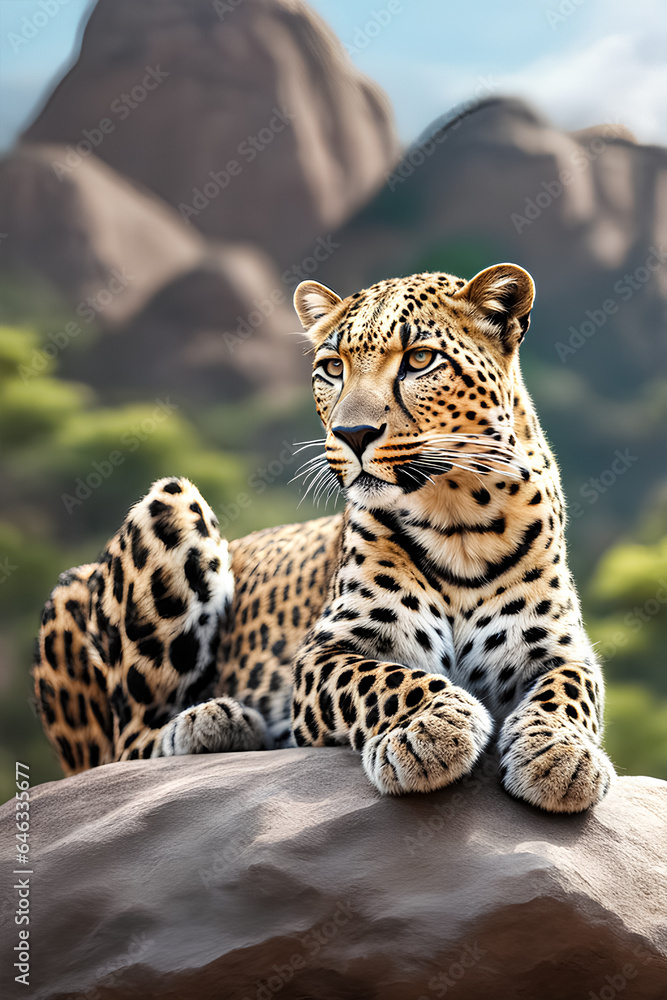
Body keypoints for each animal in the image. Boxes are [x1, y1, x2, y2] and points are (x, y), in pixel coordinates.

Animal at [33, 262, 616, 813]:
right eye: (333, 368)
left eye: (420, 360)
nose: (352, 435)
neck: (460, 518)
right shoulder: (325, 653)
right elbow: (392, 680)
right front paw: (432, 731)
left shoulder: (560, 649)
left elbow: (569, 691)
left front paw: (560, 756)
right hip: (163, 507)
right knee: (124, 745)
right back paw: (214, 723)